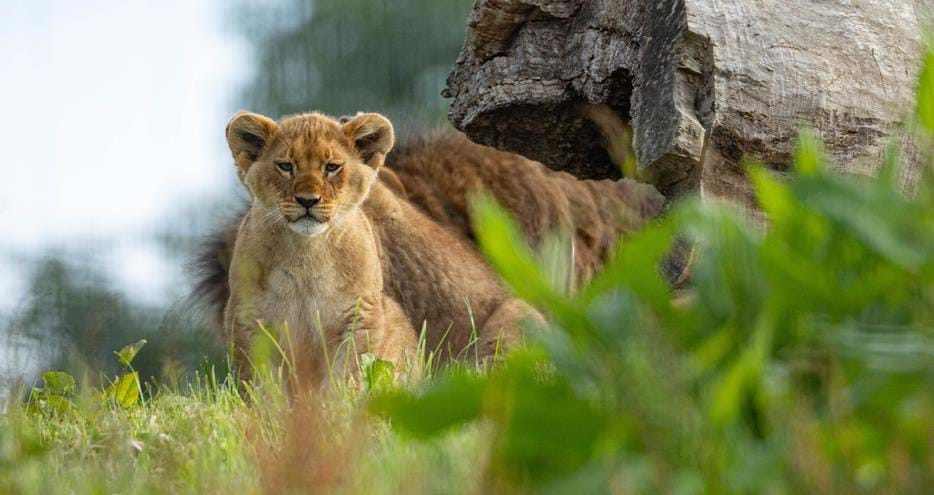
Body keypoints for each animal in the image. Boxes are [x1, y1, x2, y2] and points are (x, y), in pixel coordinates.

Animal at [220, 111, 542, 380]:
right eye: (285, 166)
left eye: (332, 167)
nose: (308, 201)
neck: (305, 254)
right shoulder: (248, 318)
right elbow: (260, 384)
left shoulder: (362, 314)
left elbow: (349, 376)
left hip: (518, 319)